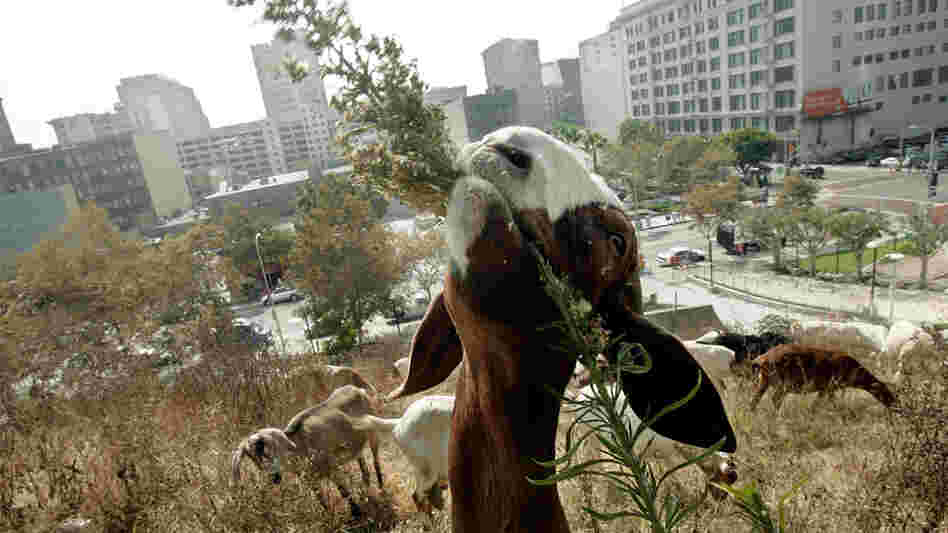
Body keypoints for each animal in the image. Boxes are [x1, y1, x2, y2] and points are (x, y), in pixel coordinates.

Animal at [749, 344, 897, 412]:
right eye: (888, 394)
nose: (898, 407)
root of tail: (761, 359)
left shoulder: (826, 389)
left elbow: (819, 404)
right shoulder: (829, 386)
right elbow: (824, 404)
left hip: (764, 381)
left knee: (754, 400)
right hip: (782, 383)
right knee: (775, 399)